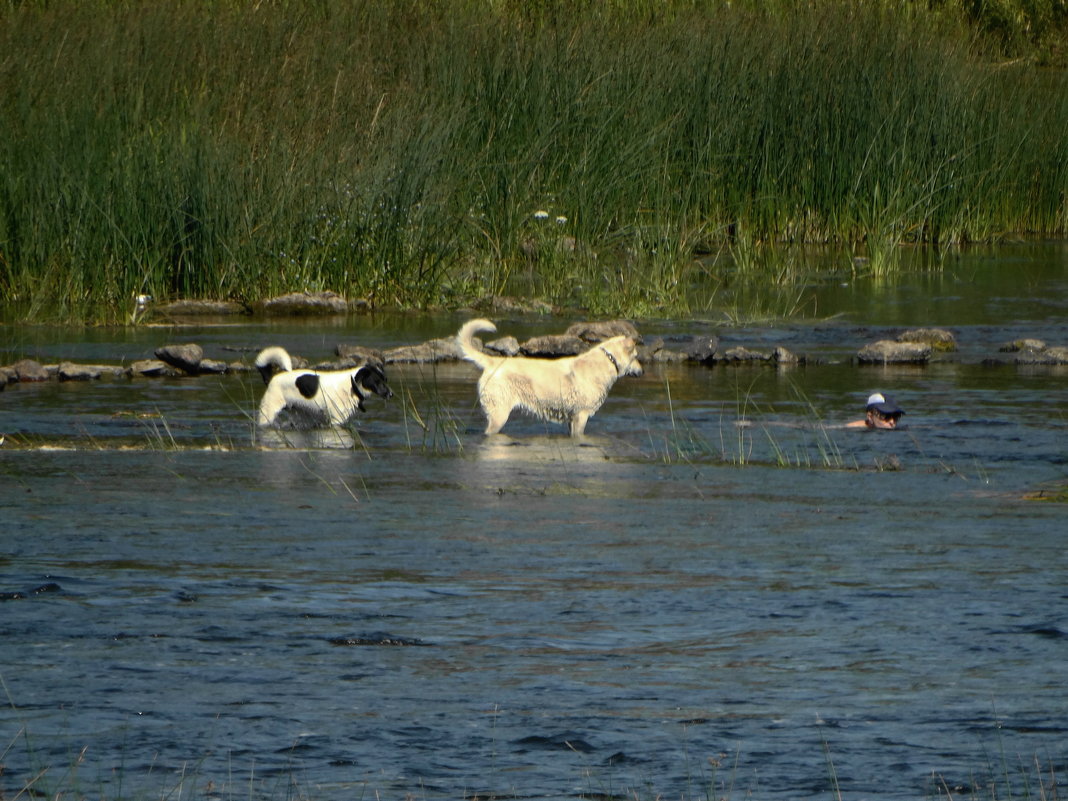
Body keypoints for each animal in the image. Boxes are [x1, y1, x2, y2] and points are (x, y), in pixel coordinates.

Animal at [253, 348, 393, 429]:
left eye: (385, 380)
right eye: (377, 381)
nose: (390, 394)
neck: (351, 386)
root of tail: (272, 378)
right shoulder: (336, 420)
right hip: (268, 414)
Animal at [452, 318, 636, 440]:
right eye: (635, 357)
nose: (640, 371)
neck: (608, 360)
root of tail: (493, 361)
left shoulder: (571, 418)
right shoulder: (581, 415)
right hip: (499, 413)